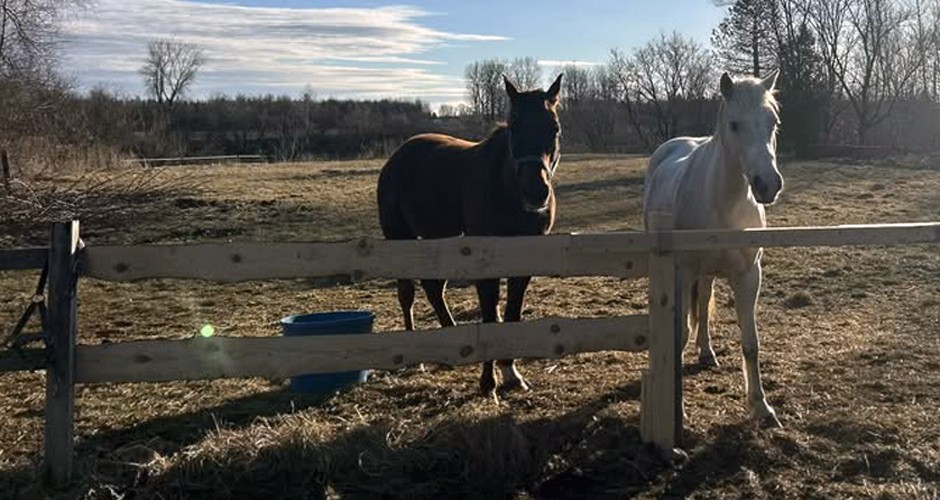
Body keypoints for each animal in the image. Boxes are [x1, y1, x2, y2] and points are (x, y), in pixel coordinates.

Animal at [377, 74, 564, 394]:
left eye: (554, 128)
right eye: (514, 127)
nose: (536, 192)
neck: (506, 189)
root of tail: (398, 156)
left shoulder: (523, 262)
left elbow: (511, 313)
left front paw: (510, 372)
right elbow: (489, 314)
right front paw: (489, 381)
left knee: (433, 288)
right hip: (399, 239)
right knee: (407, 293)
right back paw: (417, 359)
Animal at [643, 71, 784, 427]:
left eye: (773, 122)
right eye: (734, 124)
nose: (768, 185)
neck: (724, 203)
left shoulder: (749, 276)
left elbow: (751, 343)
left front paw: (762, 407)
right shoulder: (683, 272)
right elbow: (678, 336)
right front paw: (677, 411)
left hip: (707, 273)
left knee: (704, 300)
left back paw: (706, 352)